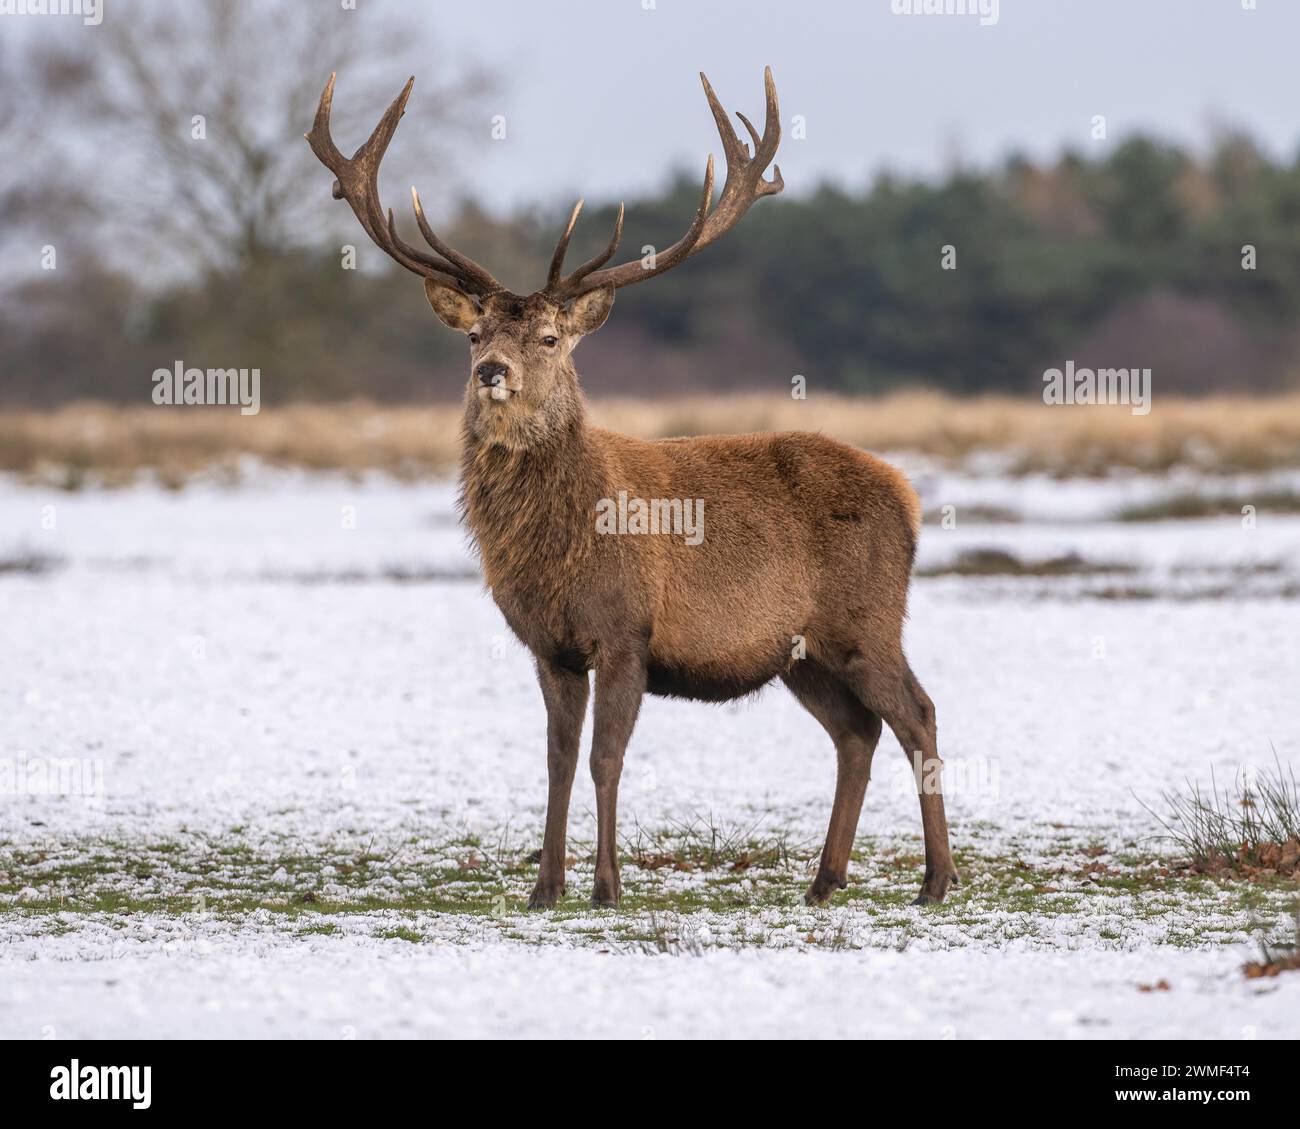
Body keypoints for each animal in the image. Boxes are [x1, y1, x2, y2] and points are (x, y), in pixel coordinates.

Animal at [306, 68, 959, 910]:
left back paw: (936, 878)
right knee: (857, 730)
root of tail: (908, 496)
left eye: (549, 338)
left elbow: (605, 758)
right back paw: (825, 878)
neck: (561, 543)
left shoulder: (625, 631)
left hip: (866, 618)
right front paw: (545, 885)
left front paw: (607, 885)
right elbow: (555, 759)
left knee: (918, 713)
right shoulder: (549, 645)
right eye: (476, 335)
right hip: (802, 651)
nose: (493, 371)